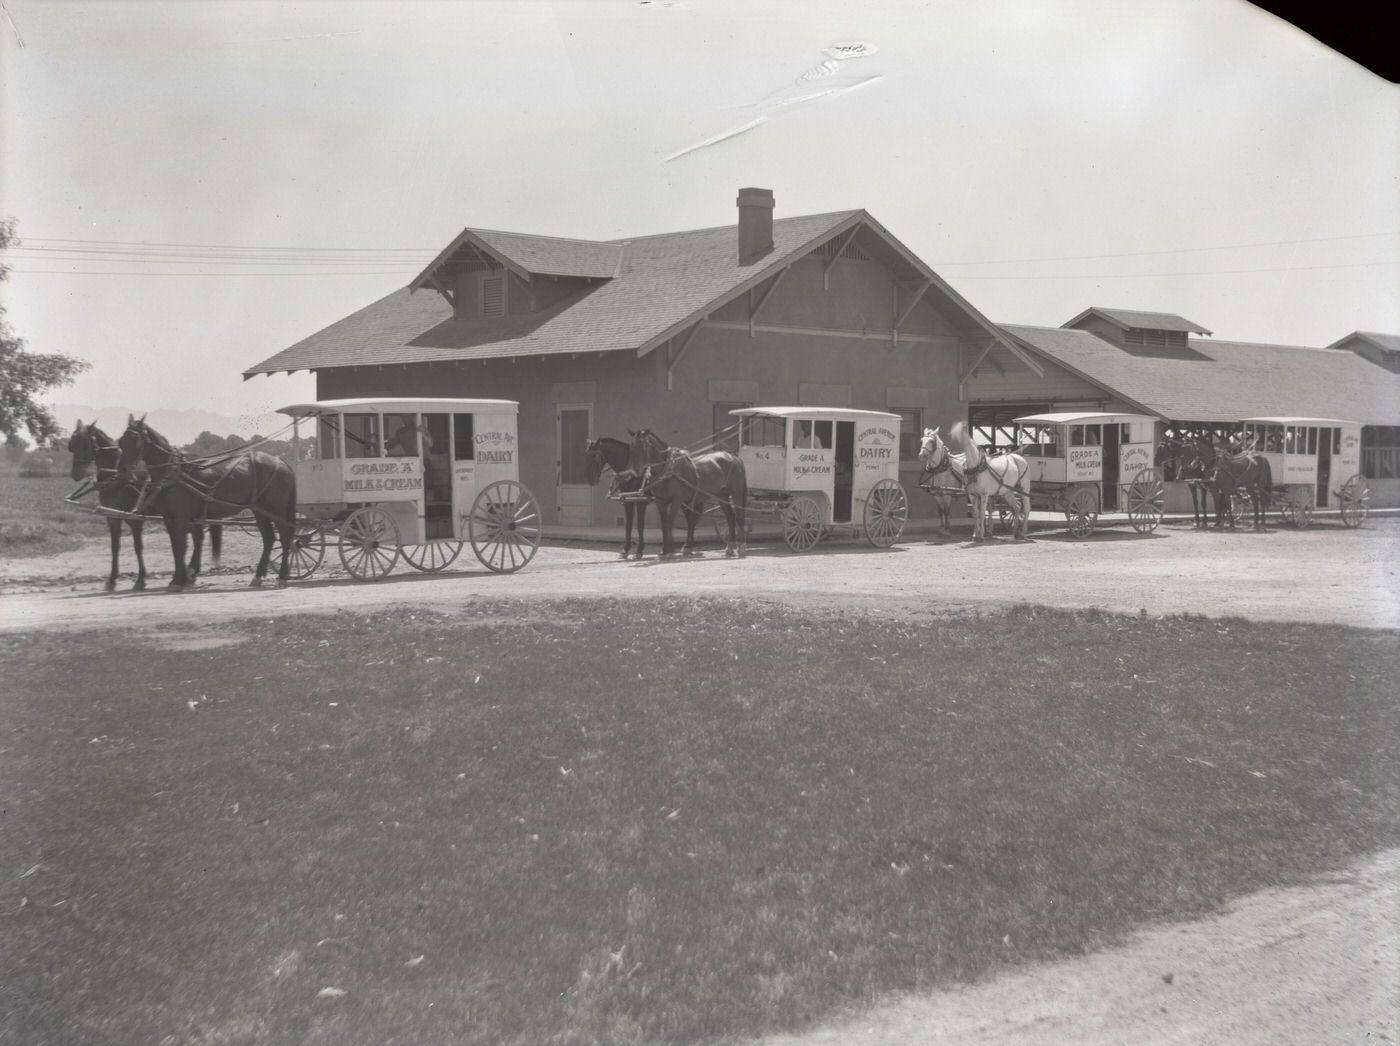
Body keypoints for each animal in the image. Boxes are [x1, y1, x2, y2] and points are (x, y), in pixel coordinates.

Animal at [66, 420, 222, 593]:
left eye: (86, 444)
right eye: (72, 445)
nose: (76, 474)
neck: (118, 478)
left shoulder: (135, 518)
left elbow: (138, 547)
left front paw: (140, 580)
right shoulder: (112, 517)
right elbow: (115, 547)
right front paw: (112, 580)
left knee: (197, 537)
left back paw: (190, 572)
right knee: (198, 537)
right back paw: (191, 572)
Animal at [116, 420, 298, 596]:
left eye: (135, 440)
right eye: (121, 442)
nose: (122, 470)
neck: (173, 472)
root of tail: (281, 462)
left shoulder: (182, 516)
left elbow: (181, 547)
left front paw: (179, 581)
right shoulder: (169, 518)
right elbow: (176, 547)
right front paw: (178, 579)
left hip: (276, 510)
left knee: (285, 538)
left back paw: (282, 576)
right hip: (260, 510)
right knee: (269, 539)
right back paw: (258, 576)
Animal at [630, 428, 750, 560]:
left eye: (644, 446)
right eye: (632, 446)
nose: (636, 471)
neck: (668, 469)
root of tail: (734, 457)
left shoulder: (677, 500)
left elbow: (669, 523)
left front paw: (668, 551)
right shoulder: (661, 501)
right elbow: (664, 525)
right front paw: (665, 550)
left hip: (736, 491)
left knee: (739, 516)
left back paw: (741, 546)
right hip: (721, 495)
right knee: (730, 516)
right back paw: (730, 547)